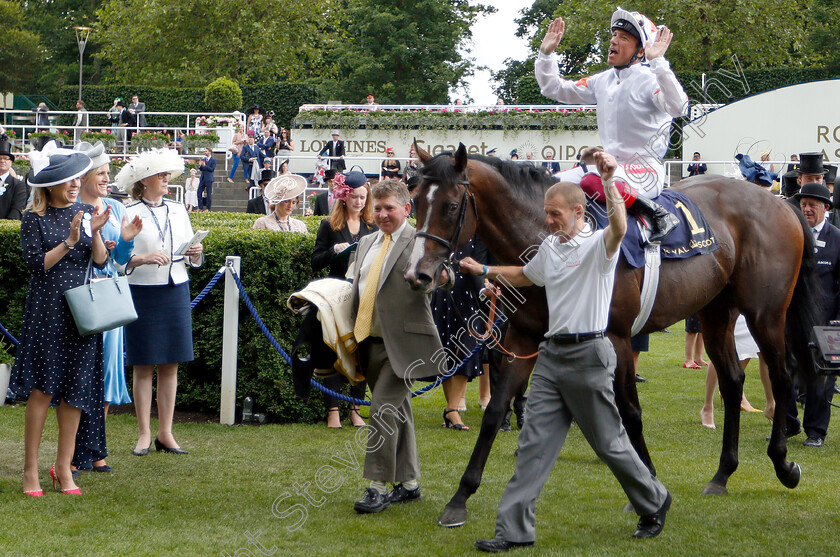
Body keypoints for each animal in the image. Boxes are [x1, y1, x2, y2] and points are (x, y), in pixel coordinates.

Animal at [406, 142, 820, 524]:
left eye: (451, 206)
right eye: (415, 201)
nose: (418, 274)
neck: (549, 239)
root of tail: (780, 203)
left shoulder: (617, 338)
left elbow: (630, 412)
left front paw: (649, 489)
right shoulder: (521, 337)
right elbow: (495, 409)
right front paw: (460, 497)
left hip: (765, 314)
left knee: (782, 376)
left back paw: (783, 464)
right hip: (716, 311)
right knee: (732, 381)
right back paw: (722, 474)